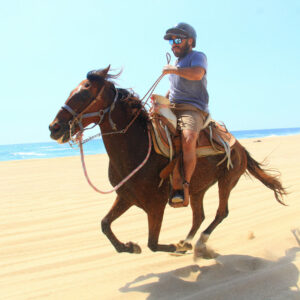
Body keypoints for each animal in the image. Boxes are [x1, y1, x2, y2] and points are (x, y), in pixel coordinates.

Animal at [48, 66, 286, 258]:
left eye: (84, 93)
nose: (54, 127)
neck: (137, 146)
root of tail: (239, 147)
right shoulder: (125, 197)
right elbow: (105, 224)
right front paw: (129, 247)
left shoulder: (156, 205)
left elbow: (152, 244)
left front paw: (169, 248)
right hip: (197, 189)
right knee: (199, 216)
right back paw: (187, 242)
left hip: (227, 181)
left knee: (221, 213)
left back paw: (197, 244)